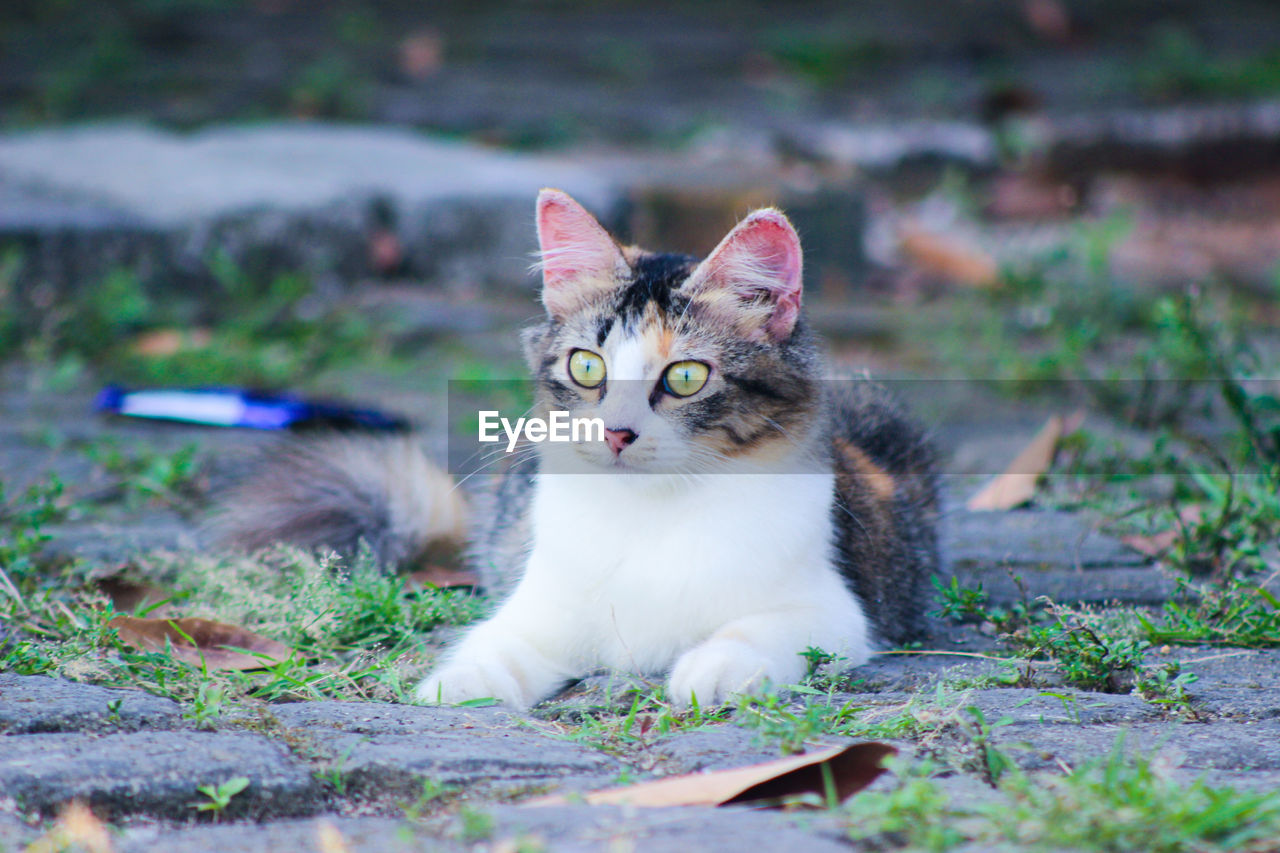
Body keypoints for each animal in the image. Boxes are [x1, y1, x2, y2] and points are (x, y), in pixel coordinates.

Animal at [215, 189, 942, 706]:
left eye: (685, 377)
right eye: (588, 367)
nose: (615, 432)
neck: (651, 513)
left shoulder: (834, 611)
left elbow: (752, 633)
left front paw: (712, 669)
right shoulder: (539, 608)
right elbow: (495, 647)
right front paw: (457, 685)